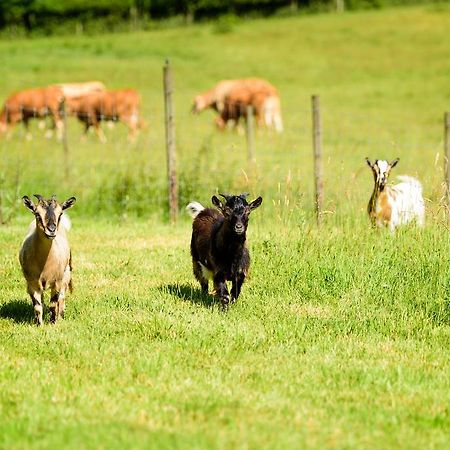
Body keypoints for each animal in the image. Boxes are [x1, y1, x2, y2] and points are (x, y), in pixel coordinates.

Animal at [19, 195, 76, 326]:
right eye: (37, 214)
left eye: (60, 213)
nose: (51, 230)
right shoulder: (32, 283)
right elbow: (37, 306)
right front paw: (39, 325)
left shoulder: (57, 281)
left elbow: (53, 304)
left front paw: (53, 323)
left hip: (66, 274)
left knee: (62, 297)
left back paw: (61, 317)